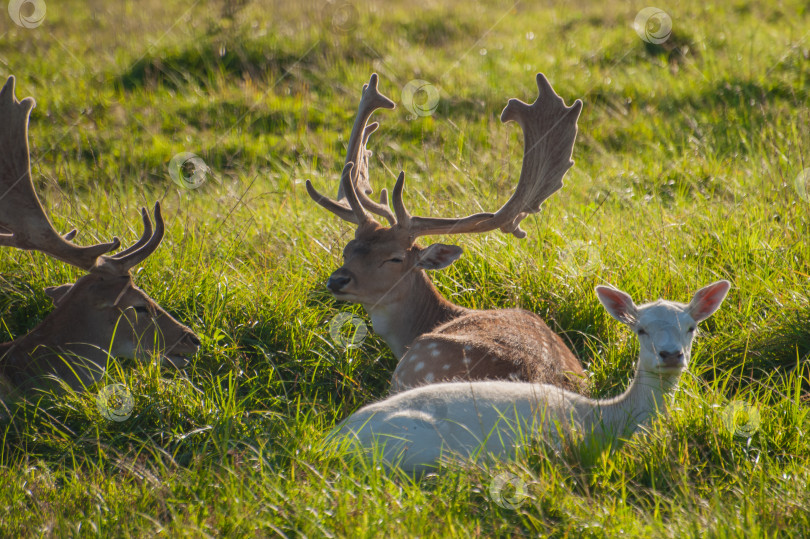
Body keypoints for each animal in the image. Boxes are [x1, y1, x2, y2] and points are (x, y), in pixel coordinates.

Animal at [332, 280, 728, 474]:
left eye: (692, 327)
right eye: (641, 330)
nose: (671, 355)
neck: (603, 418)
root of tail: (330, 442)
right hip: (414, 450)